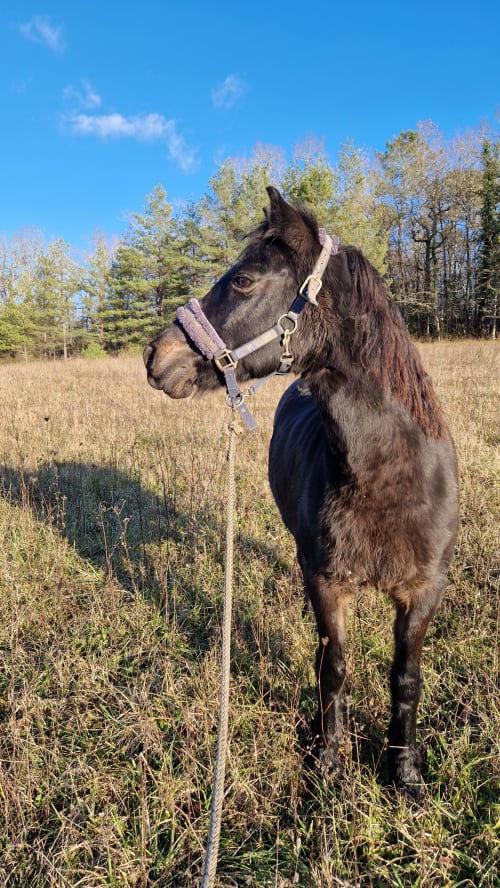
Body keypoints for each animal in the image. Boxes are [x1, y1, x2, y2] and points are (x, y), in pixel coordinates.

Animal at [143, 187, 459, 796]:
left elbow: (406, 677)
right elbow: (332, 666)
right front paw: (328, 762)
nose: (155, 356)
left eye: (243, 280)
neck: (388, 479)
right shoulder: (327, 582)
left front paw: (404, 771)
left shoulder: (424, 589)